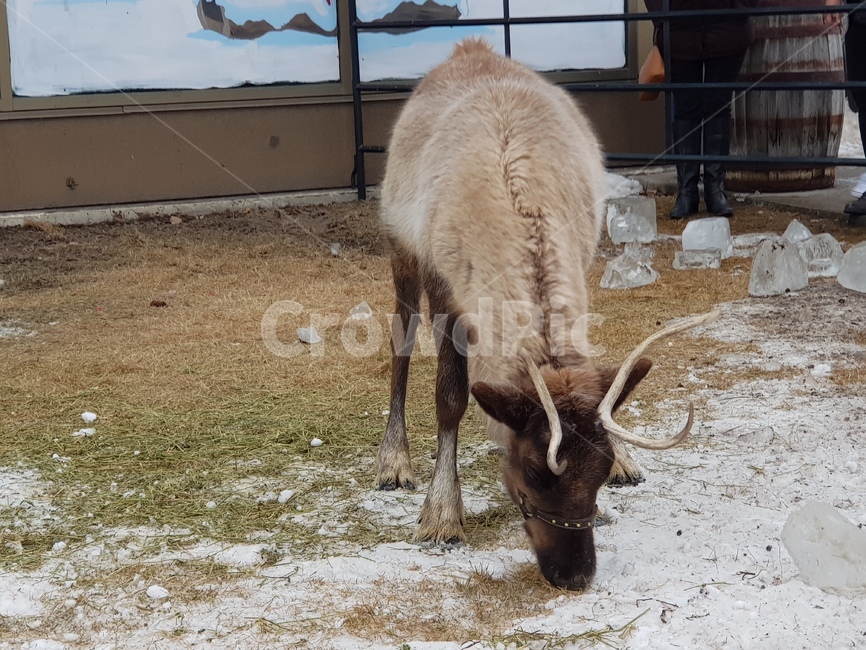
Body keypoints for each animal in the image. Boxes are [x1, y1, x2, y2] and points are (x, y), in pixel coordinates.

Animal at [374, 37, 717, 591]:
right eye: (533, 471)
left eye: (596, 472)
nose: (575, 574)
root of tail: (469, 47)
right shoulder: (445, 287)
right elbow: (450, 397)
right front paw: (442, 513)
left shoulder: (582, 259)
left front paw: (623, 460)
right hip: (399, 247)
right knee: (399, 340)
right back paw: (394, 461)